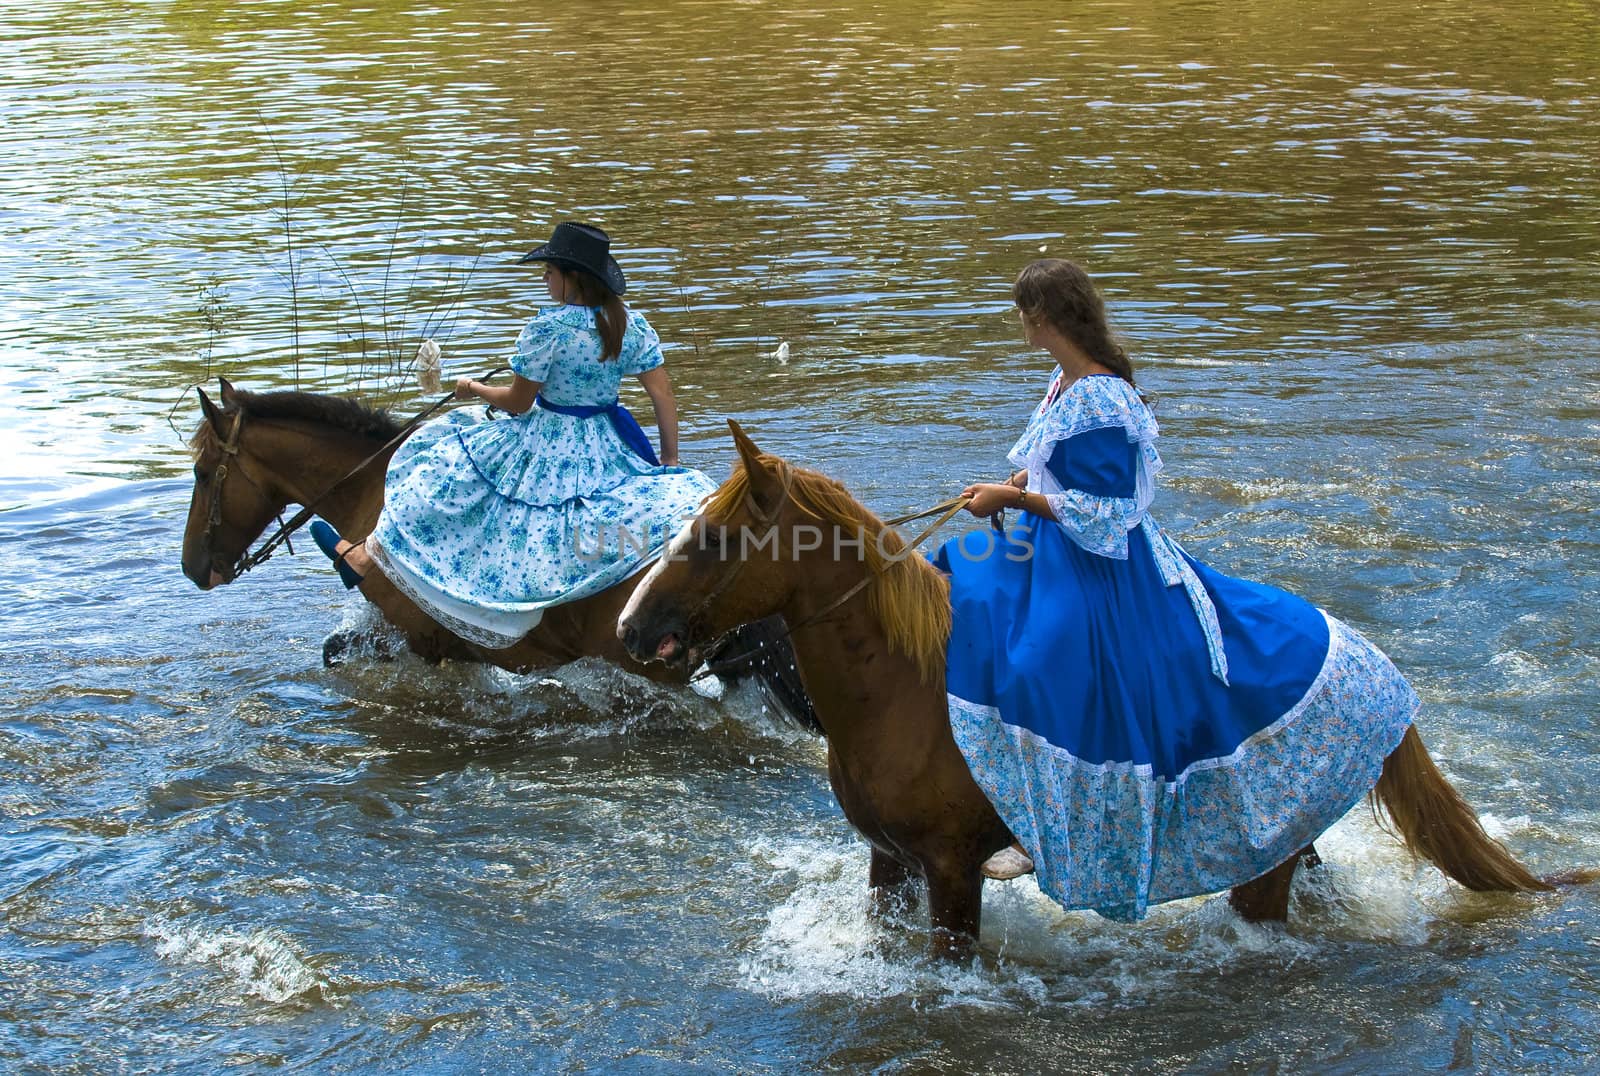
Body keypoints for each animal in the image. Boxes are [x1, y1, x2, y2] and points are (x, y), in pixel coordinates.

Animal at [620, 419, 1561, 960]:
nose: (630, 626)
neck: (901, 694)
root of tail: (1376, 666)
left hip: (1264, 862)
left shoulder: (952, 872)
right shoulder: (888, 861)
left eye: (712, 537)